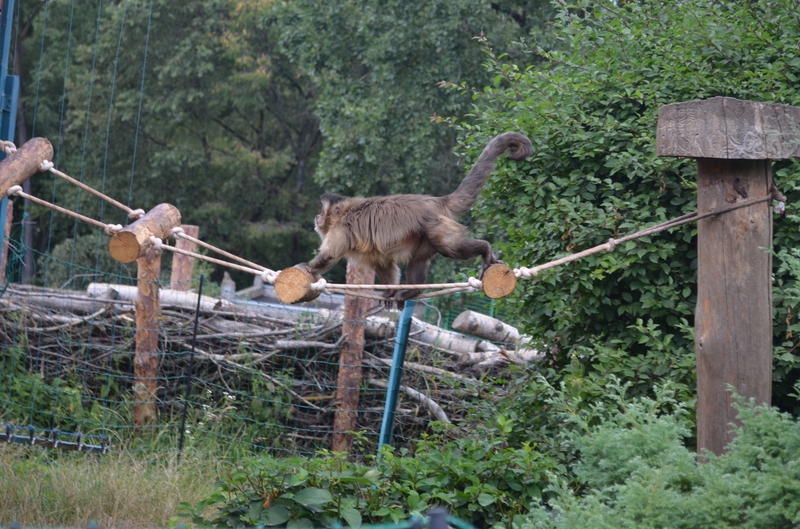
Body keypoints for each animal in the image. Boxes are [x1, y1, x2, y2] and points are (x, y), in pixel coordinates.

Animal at [294, 129, 532, 308]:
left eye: (322, 212)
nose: (316, 216)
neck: (344, 214)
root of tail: (436, 201)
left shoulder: (341, 229)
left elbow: (329, 257)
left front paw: (307, 268)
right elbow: (385, 265)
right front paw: (389, 294)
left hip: (436, 224)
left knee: (448, 247)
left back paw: (485, 249)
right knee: (418, 259)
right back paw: (412, 292)